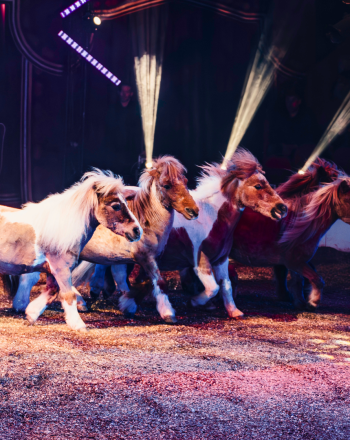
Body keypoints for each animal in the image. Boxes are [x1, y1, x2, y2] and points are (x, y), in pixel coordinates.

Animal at [14, 156, 200, 324]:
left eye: (185, 181)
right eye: (167, 185)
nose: (193, 210)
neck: (148, 222)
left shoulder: (149, 258)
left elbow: (145, 282)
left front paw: (128, 305)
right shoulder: (144, 257)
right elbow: (159, 283)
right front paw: (168, 314)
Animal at [101, 148, 288, 320]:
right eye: (258, 185)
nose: (282, 208)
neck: (211, 217)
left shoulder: (221, 260)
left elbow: (226, 284)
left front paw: (234, 312)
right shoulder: (201, 261)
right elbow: (213, 288)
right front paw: (196, 302)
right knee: (118, 274)